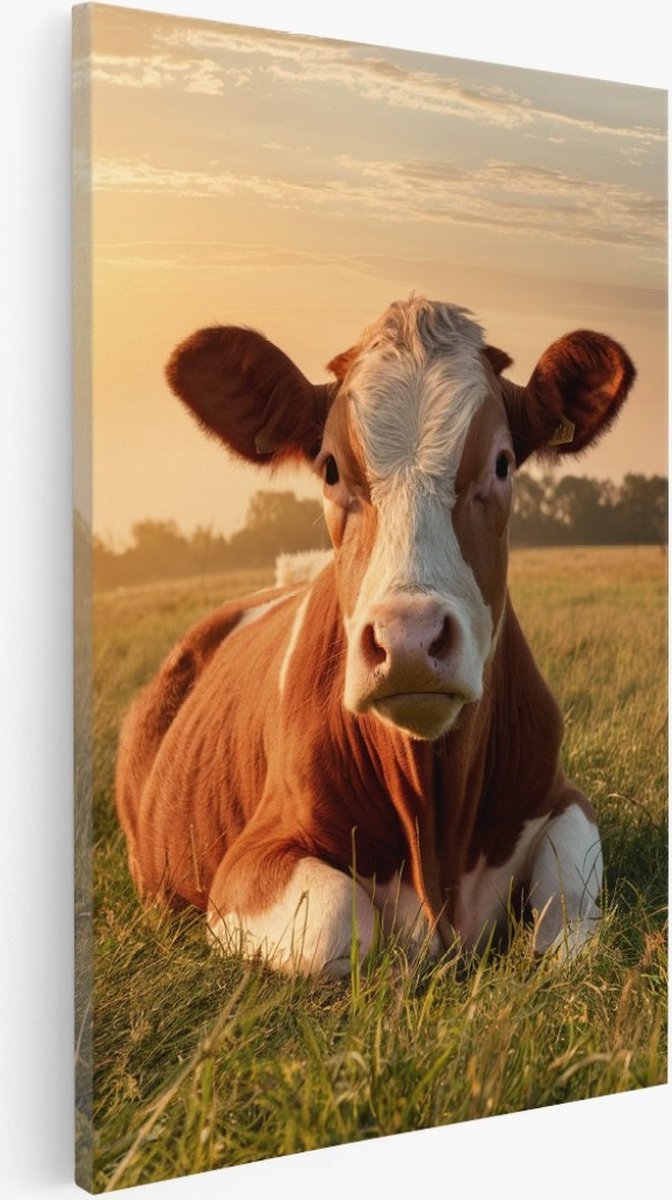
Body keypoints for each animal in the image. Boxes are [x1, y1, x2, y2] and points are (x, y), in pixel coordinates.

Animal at [115, 297, 635, 978]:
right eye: (332, 468)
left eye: (501, 463)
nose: (408, 639)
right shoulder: (248, 861)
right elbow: (338, 921)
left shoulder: (560, 796)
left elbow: (569, 917)